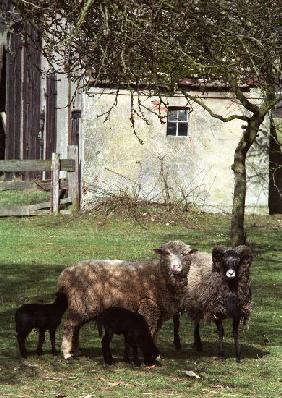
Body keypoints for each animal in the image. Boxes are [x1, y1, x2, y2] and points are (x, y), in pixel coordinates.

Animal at [57, 241, 194, 360]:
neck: (159, 275)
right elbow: (149, 331)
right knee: (69, 326)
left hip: (84, 305)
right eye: (167, 253)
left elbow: (155, 334)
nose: (176, 268)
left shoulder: (159, 312)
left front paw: (157, 355)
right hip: (81, 303)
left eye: (184, 254)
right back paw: (66, 353)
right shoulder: (148, 306)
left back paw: (75, 351)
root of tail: (65, 274)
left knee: (76, 327)